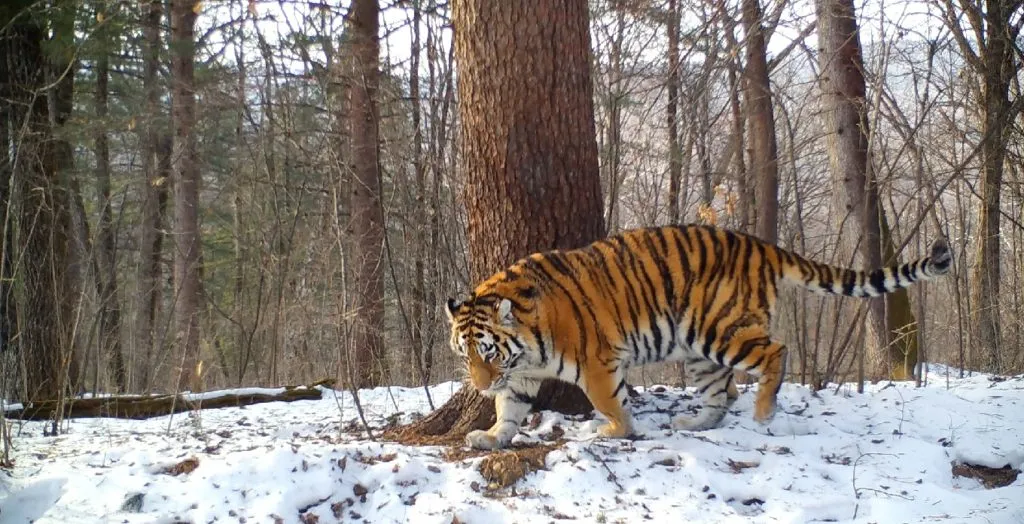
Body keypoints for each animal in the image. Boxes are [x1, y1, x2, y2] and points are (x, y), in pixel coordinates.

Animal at [448, 223, 950, 448]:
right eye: (467, 355)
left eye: (489, 352)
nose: (478, 384)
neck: (526, 345)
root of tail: (762, 245)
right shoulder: (520, 376)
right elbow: (510, 408)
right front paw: (491, 436)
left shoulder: (597, 361)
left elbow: (611, 401)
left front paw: (612, 430)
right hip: (698, 352)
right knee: (717, 397)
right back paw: (693, 424)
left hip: (719, 330)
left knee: (776, 352)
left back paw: (763, 412)